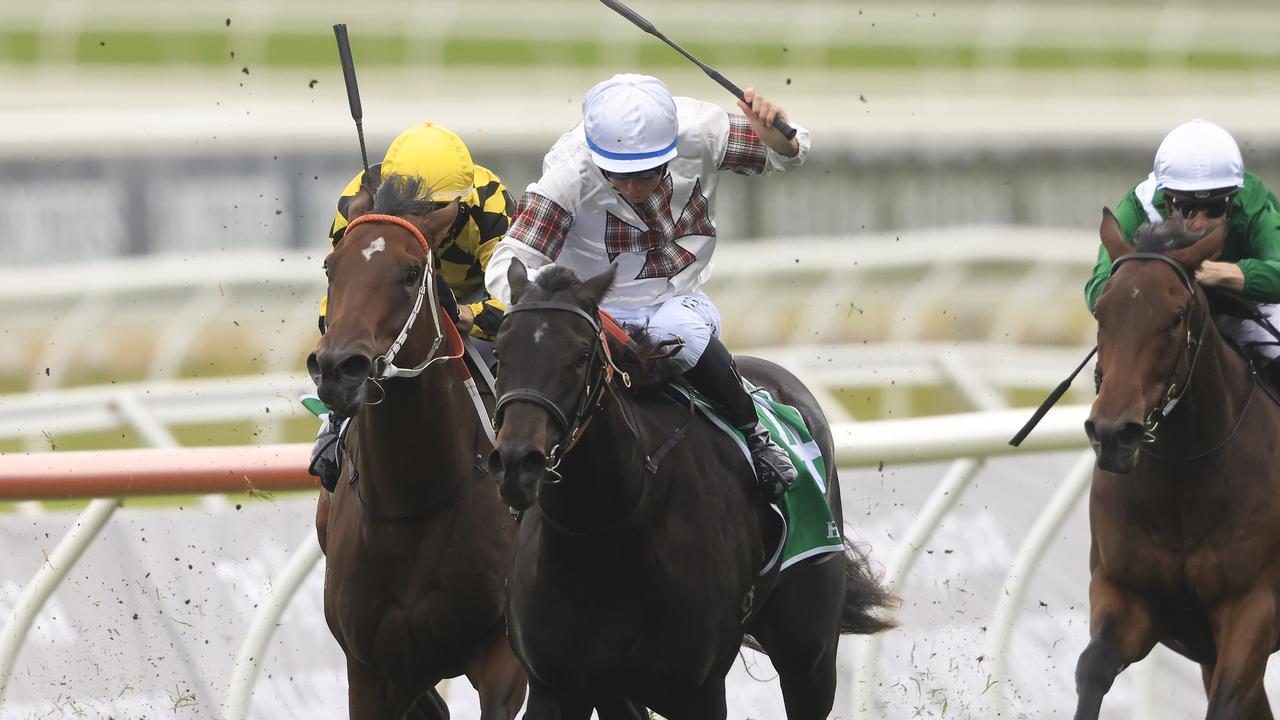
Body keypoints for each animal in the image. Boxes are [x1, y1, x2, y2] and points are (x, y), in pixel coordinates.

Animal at [308, 175, 524, 717]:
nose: (338, 368)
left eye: (410, 274)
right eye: (330, 268)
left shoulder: (503, 656)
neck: (413, 506)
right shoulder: (370, 669)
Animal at [1075, 210, 1280, 712]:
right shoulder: (1125, 594)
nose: (1113, 434)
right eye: (1100, 312)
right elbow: (1092, 669)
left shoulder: (1253, 607)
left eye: (1175, 318)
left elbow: (1226, 701)